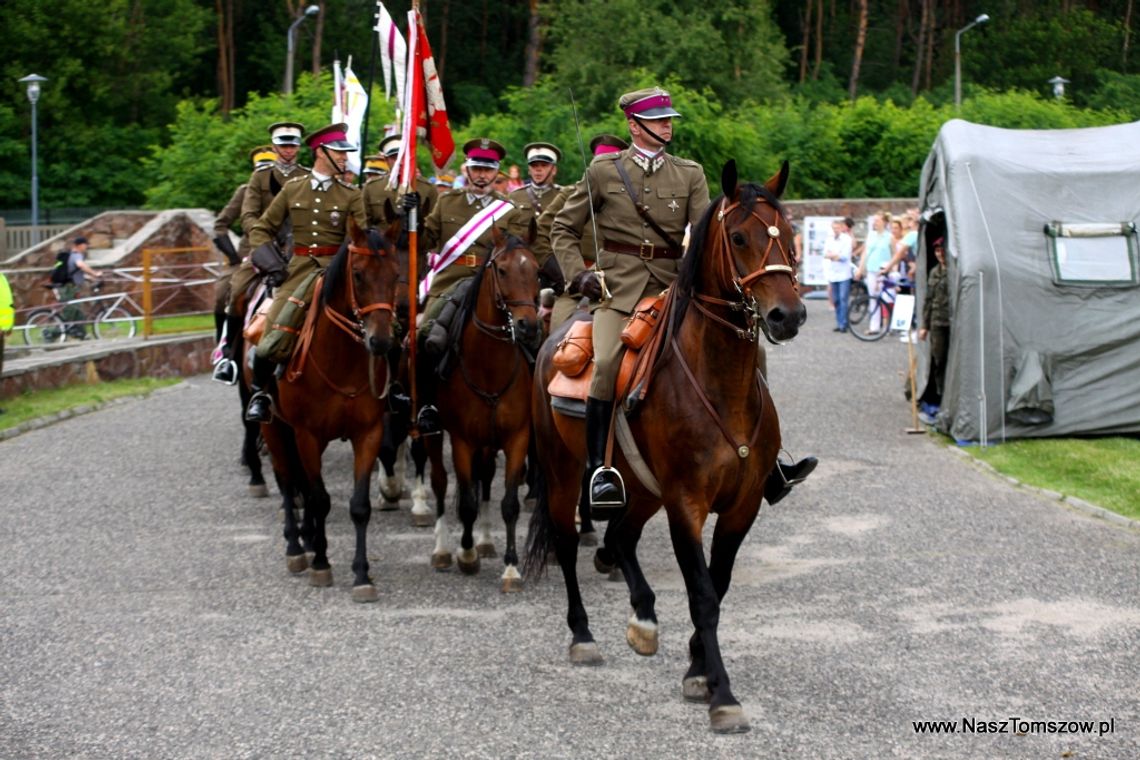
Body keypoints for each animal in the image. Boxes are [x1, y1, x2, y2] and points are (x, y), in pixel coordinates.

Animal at [261, 216, 403, 601]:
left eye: (396, 274)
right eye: (358, 274)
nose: (380, 341)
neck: (340, 359)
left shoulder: (368, 433)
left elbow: (359, 505)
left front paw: (362, 574)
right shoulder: (307, 435)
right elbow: (318, 498)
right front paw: (322, 564)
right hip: (273, 427)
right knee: (287, 481)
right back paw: (297, 548)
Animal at [424, 225, 538, 592]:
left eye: (535, 270)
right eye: (501, 270)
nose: (528, 326)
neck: (490, 367)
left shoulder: (517, 438)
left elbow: (509, 503)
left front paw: (511, 568)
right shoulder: (462, 441)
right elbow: (467, 502)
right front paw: (466, 554)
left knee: (485, 478)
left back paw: (486, 541)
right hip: (432, 433)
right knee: (441, 481)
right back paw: (444, 548)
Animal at [522, 161, 802, 738]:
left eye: (788, 234)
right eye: (739, 237)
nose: (788, 315)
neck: (719, 383)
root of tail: (555, 336)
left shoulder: (740, 507)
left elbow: (717, 586)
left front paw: (697, 670)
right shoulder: (686, 504)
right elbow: (702, 595)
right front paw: (722, 694)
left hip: (643, 489)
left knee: (621, 538)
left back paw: (644, 618)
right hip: (563, 474)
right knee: (567, 541)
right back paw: (583, 635)